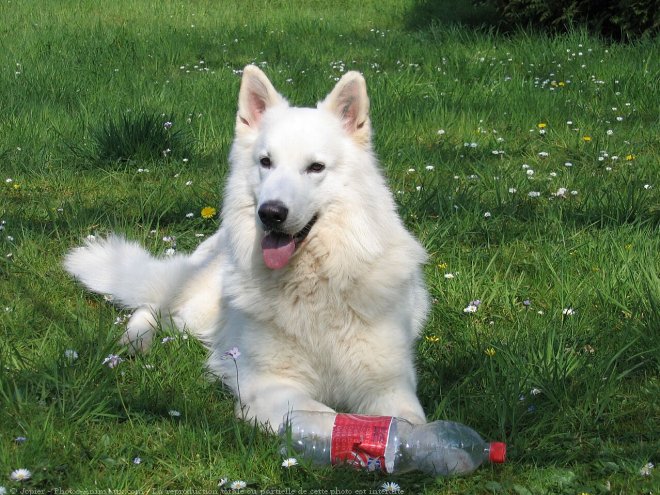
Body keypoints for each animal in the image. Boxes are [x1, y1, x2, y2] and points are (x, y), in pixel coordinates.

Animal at [64, 65, 428, 430]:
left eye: (316, 168)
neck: (315, 283)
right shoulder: (271, 384)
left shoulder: (389, 385)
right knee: (153, 308)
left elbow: (408, 423)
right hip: (196, 314)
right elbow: (326, 417)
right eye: (266, 162)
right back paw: (134, 341)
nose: (270, 213)